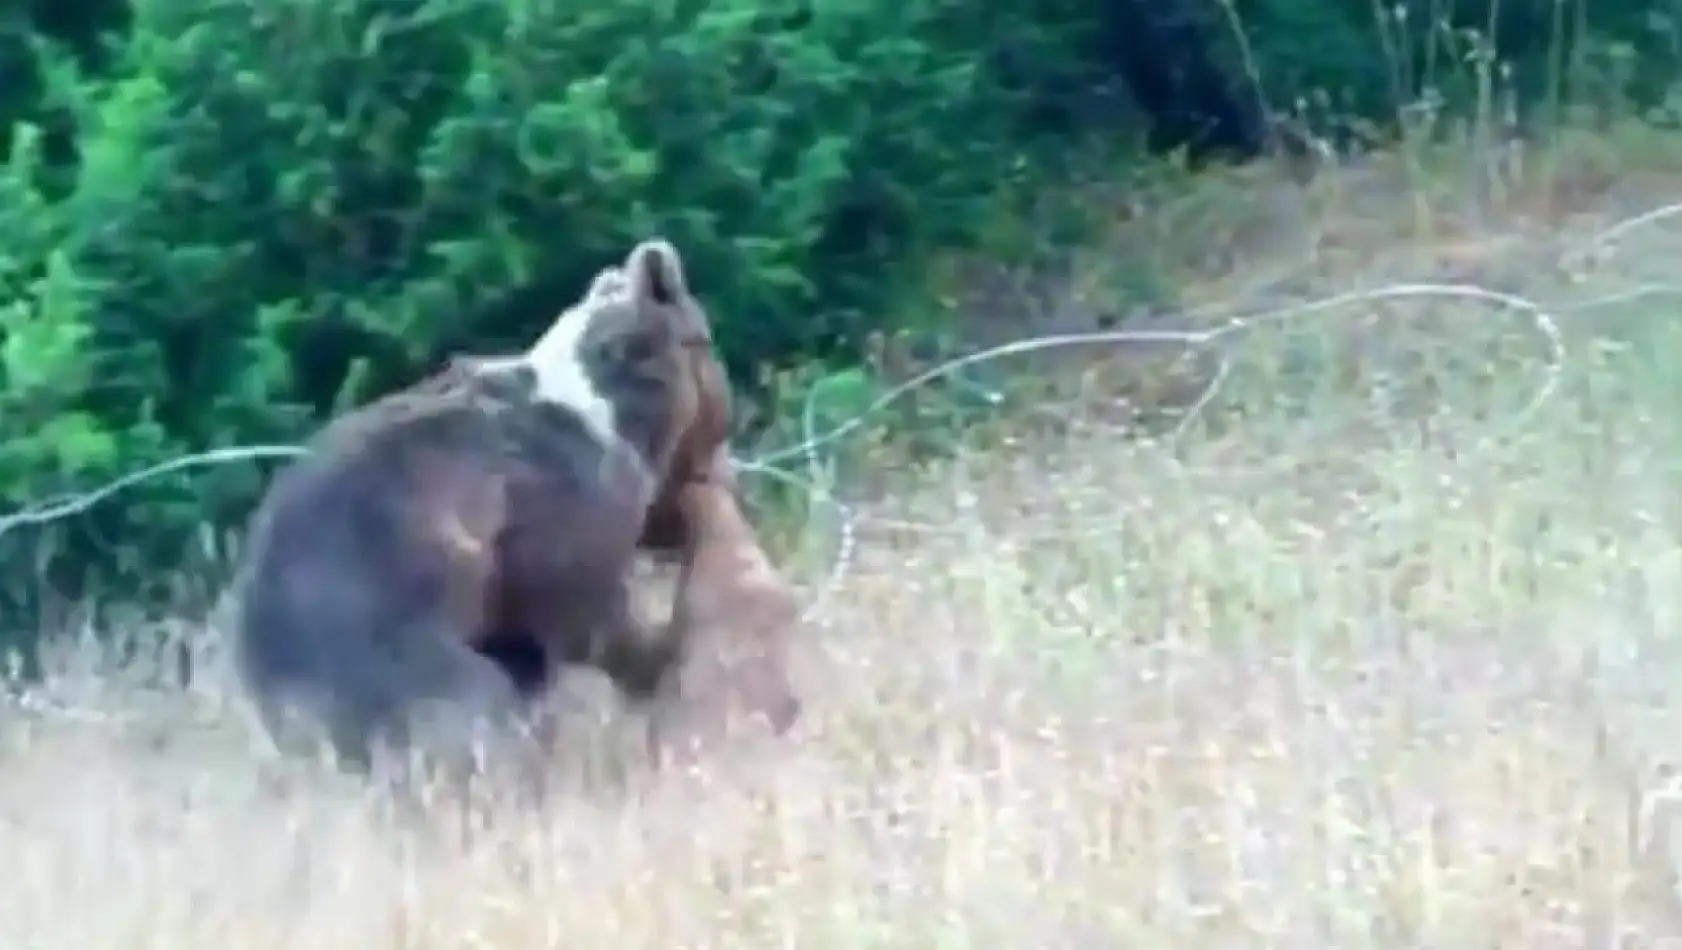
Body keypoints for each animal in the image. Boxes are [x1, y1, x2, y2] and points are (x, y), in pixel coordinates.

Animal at [227, 238, 797, 793]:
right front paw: (655, 656)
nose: (730, 478)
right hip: (379, 647)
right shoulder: (561, 510)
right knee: (470, 713)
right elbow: (583, 610)